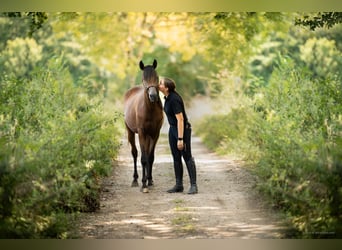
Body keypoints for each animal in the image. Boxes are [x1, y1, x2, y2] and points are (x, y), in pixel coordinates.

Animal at [123, 59, 164, 193]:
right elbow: (143, 158)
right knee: (135, 153)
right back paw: (135, 180)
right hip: (131, 132)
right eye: (143, 79)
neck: (149, 110)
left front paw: (149, 181)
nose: (153, 96)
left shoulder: (155, 133)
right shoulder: (142, 133)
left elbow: (150, 157)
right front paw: (143, 184)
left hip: (148, 136)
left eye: (157, 77)